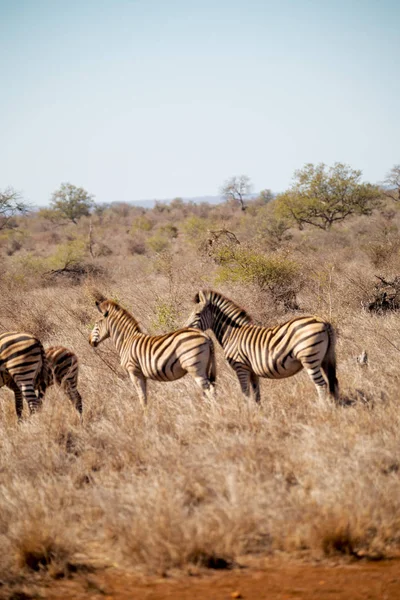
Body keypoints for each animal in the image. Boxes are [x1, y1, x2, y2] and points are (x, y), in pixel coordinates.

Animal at [88, 292, 216, 406]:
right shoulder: (142, 375)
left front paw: (145, 417)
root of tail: (205, 336)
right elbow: (145, 397)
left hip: (195, 367)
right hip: (206, 367)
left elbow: (142, 398)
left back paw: (213, 410)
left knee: (209, 390)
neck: (126, 340)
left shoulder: (134, 372)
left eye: (96, 323)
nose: (89, 342)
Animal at [186, 290, 340, 404]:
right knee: (333, 381)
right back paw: (335, 407)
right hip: (326, 358)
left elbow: (245, 393)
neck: (232, 334)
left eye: (197, 314)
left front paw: (246, 413)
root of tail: (322, 321)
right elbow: (256, 394)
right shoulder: (252, 370)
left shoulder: (241, 367)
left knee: (321, 384)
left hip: (310, 358)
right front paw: (258, 412)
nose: (186, 330)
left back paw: (322, 408)